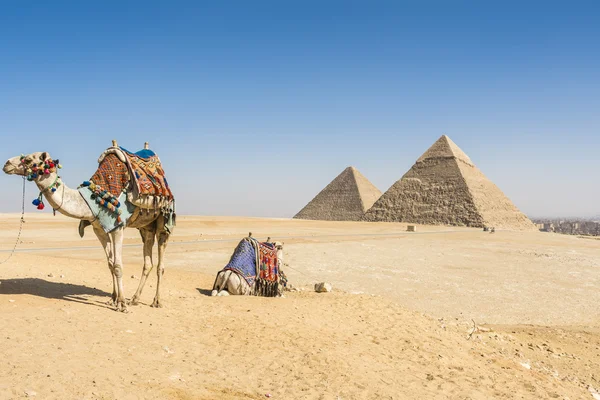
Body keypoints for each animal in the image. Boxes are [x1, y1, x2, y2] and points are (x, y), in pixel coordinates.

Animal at [3, 142, 175, 310]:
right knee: (148, 261)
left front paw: (121, 304)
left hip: (163, 221)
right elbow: (110, 264)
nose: (6, 164)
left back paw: (156, 301)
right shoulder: (99, 229)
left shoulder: (117, 227)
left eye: (29, 159)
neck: (90, 200)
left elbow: (118, 265)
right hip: (146, 227)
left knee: (160, 263)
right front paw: (113, 299)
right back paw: (135, 299)